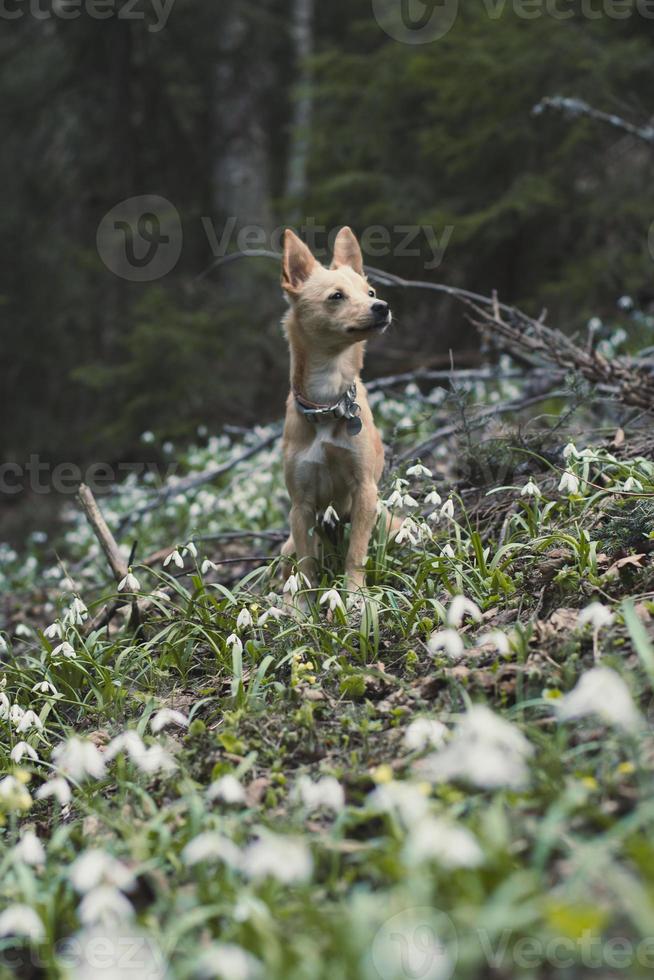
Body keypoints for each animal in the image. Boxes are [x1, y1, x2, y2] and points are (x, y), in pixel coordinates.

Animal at [280, 228, 402, 596]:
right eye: (337, 296)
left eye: (371, 292)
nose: (382, 306)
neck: (328, 402)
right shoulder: (301, 507)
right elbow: (307, 566)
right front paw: (303, 606)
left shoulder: (364, 491)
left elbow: (356, 552)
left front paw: (355, 595)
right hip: (286, 546)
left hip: (389, 522)